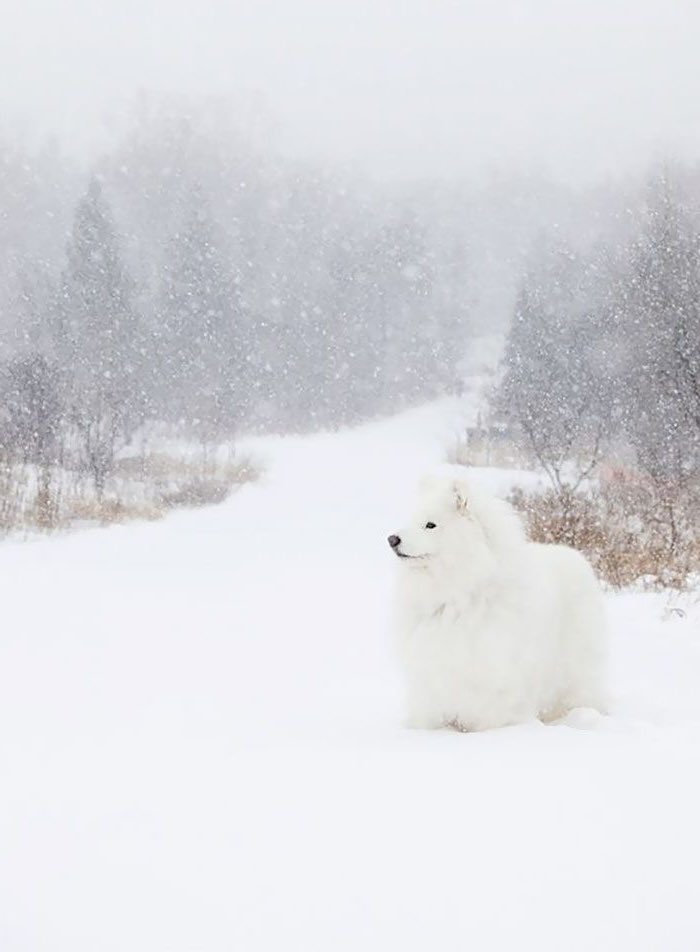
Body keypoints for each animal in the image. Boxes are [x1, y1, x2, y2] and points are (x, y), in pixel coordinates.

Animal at [388, 472, 608, 732]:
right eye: (411, 521)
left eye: (430, 525)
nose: (392, 538)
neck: (456, 596)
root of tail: (575, 556)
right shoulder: (430, 670)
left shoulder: (491, 671)